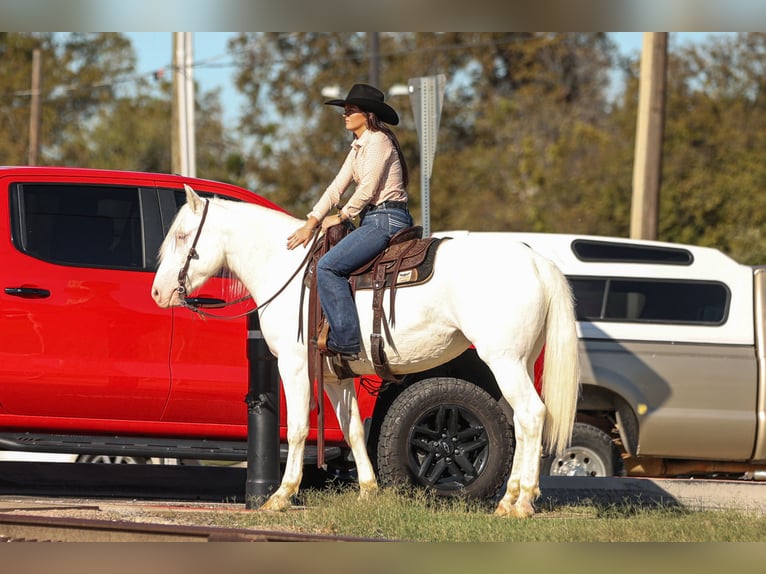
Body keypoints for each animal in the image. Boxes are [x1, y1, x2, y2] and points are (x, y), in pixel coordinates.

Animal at [152, 186, 584, 520]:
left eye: (182, 236)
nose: (158, 292)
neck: (288, 269)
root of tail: (538, 261)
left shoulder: (294, 366)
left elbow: (297, 428)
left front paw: (281, 496)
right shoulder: (336, 375)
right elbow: (353, 430)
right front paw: (368, 489)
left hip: (504, 361)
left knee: (531, 415)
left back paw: (522, 502)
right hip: (519, 361)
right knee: (522, 422)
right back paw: (510, 499)